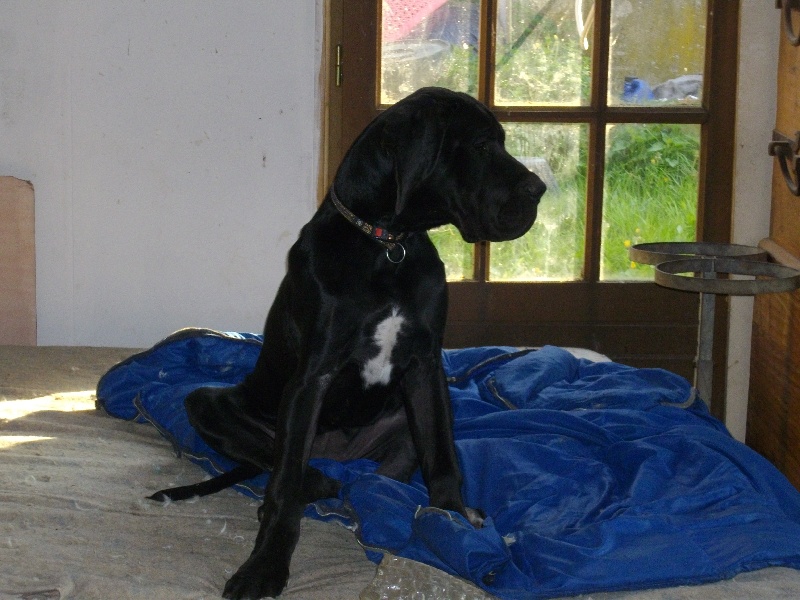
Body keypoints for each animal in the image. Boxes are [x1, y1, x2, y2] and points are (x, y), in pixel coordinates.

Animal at [160, 86, 544, 596]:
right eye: (482, 146)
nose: (539, 189)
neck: (387, 243)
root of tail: (337, 454)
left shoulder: (426, 368)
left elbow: (442, 454)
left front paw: (450, 519)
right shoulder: (312, 378)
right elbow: (284, 485)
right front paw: (265, 565)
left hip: (405, 418)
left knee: (376, 479)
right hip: (213, 404)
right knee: (279, 461)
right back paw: (318, 485)